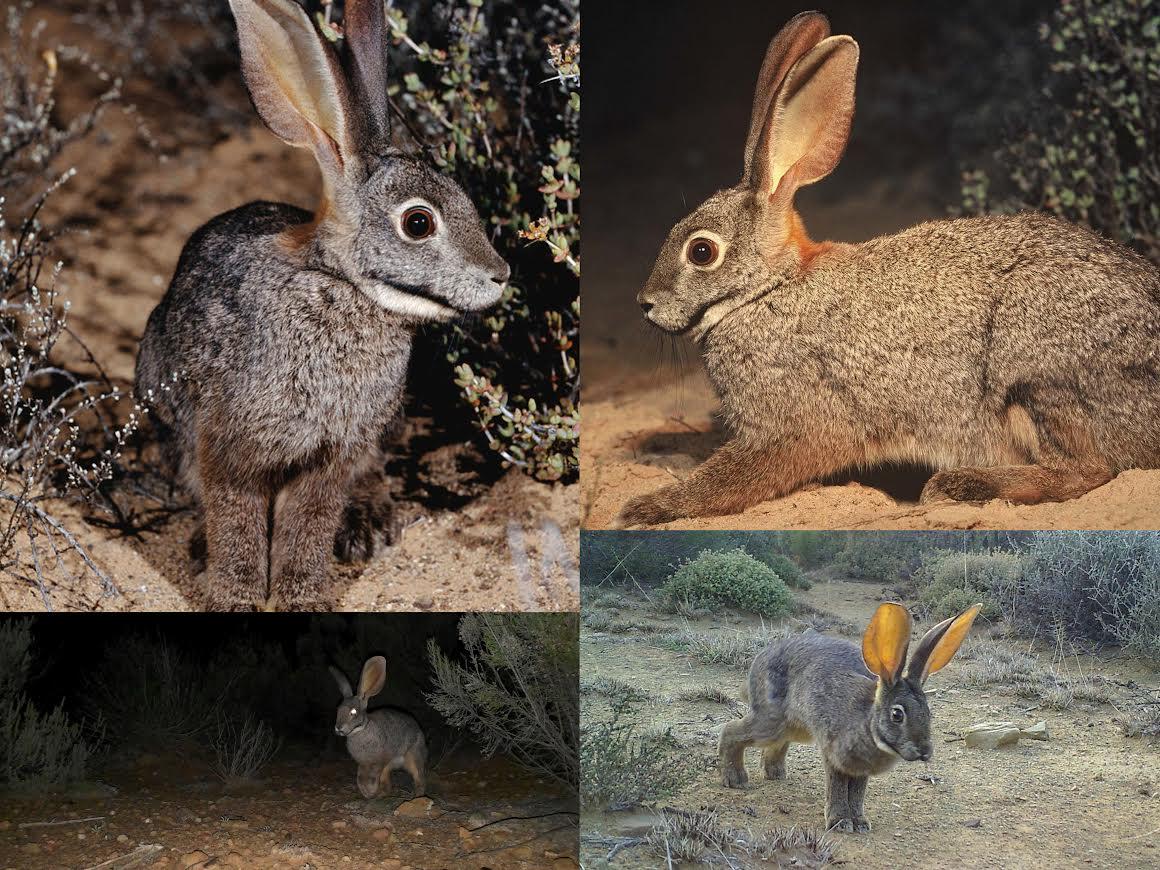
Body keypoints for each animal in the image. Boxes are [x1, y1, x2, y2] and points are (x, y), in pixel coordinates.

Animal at [134, 0, 509, 610]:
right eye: (418, 223)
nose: (500, 275)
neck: (342, 284)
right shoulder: (230, 445)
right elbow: (235, 520)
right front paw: (234, 596)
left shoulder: (333, 456)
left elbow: (308, 524)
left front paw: (302, 596)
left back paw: (365, 527)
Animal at [330, 655, 428, 800]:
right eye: (338, 709)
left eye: (353, 712)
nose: (338, 728)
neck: (361, 730)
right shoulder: (364, 763)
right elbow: (360, 778)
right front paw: (366, 793)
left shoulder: (378, 761)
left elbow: (371, 778)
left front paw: (370, 791)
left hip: (413, 755)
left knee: (418, 776)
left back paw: (417, 796)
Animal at [617, 9, 1160, 528]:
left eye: (701, 252)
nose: (646, 303)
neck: (769, 290)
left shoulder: (789, 425)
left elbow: (730, 480)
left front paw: (646, 507)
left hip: (1035, 371)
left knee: (1087, 469)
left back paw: (961, 485)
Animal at [719, 602, 979, 833]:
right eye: (897, 714)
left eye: (928, 712)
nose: (925, 751)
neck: (868, 723)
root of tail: (761, 657)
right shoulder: (834, 753)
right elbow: (838, 788)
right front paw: (840, 823)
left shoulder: (861, 770)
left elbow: (856, 794)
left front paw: (860, 823)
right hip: (770, 720)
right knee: (731, 730)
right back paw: (735, 779)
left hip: (794, 728)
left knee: (777, 744)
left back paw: (775, 774)